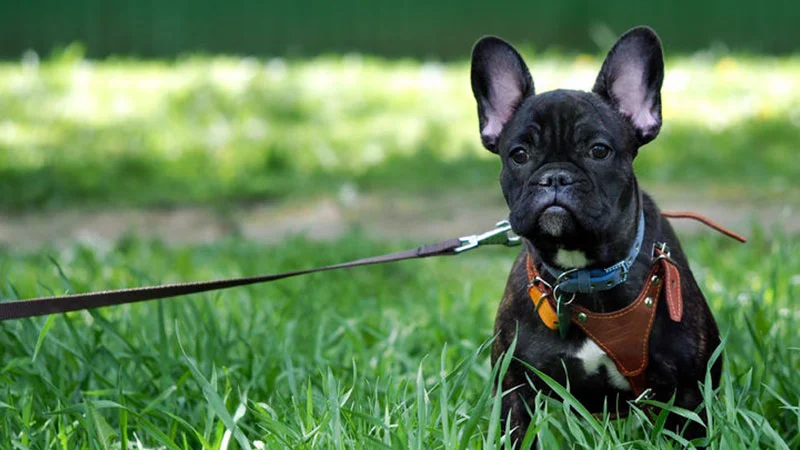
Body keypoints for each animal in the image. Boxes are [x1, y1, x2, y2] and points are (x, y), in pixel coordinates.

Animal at [470, 26, 721, 445]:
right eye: (518, 155)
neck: (583, 274)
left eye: (599, 150)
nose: (555, 177)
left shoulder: (687, 393)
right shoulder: (515, 388)